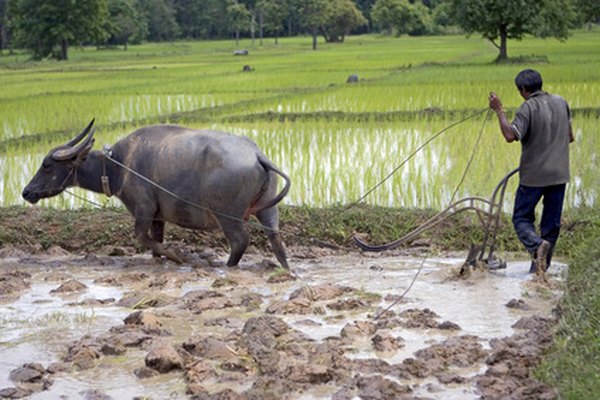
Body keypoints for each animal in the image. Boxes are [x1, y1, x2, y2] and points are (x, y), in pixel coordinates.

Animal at [24, 119, 292, 268]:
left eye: (47, 165)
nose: (27, 192)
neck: (119, 165)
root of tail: (256, 154)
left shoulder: (143, 209)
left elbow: (141, 237)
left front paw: (177, 255)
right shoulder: (158, 216)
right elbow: (155, 242)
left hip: (228, 216)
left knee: (240, 241)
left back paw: (228, 266)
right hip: (268, 210)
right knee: (276, 241)